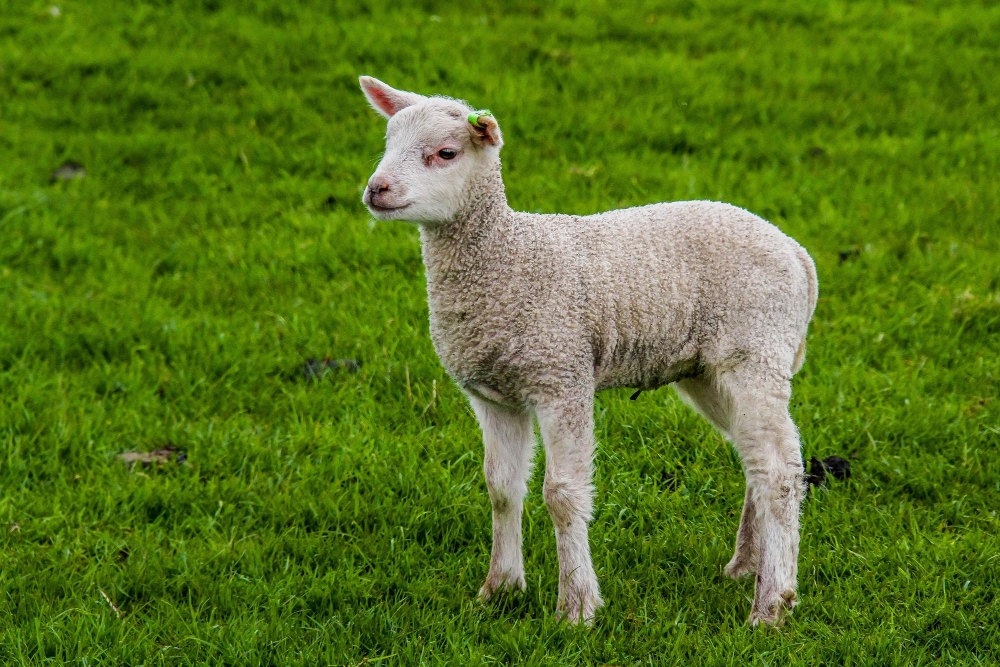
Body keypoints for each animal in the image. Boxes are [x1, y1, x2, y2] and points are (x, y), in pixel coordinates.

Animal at [358, 76, 819, 626]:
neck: (508, 255)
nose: (376, 189)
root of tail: (795, 250)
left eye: (445, 153)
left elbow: (562, 495)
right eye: (387, 143)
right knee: (756, 458)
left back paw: (772, 602)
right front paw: (500, 589)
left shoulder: (562, 374)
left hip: (756, 348)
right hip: (708, 369)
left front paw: (575, 606)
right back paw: (746, 566)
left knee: (780, 471)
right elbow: (500, 489)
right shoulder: (492, 395)